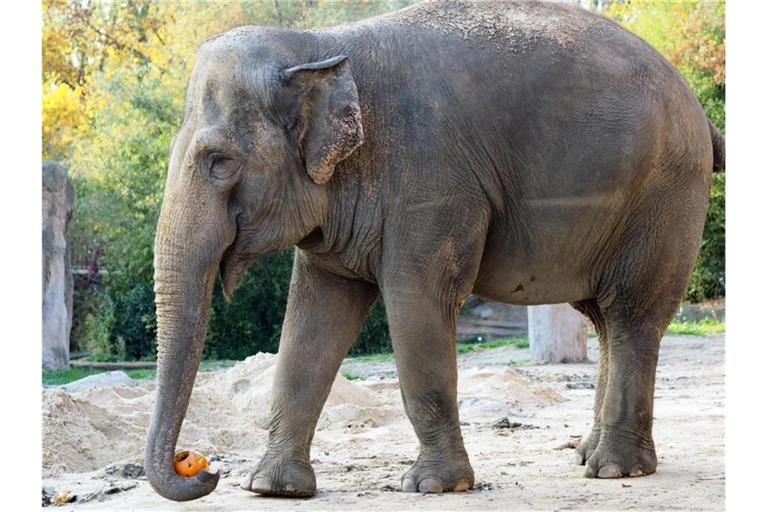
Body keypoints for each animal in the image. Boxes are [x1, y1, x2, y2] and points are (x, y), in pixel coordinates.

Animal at [144, 0, 728, 504]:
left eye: (219, 161)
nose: (203, 467)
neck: (323, 46)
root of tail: (699, 109)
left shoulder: (431, 180)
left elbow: (417, 301)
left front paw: (434, 487)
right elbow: (314, 318)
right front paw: (271, 489)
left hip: (664, 197)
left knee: (630, 315)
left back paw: (614, 468)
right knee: (604, 318)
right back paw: (587, 455)